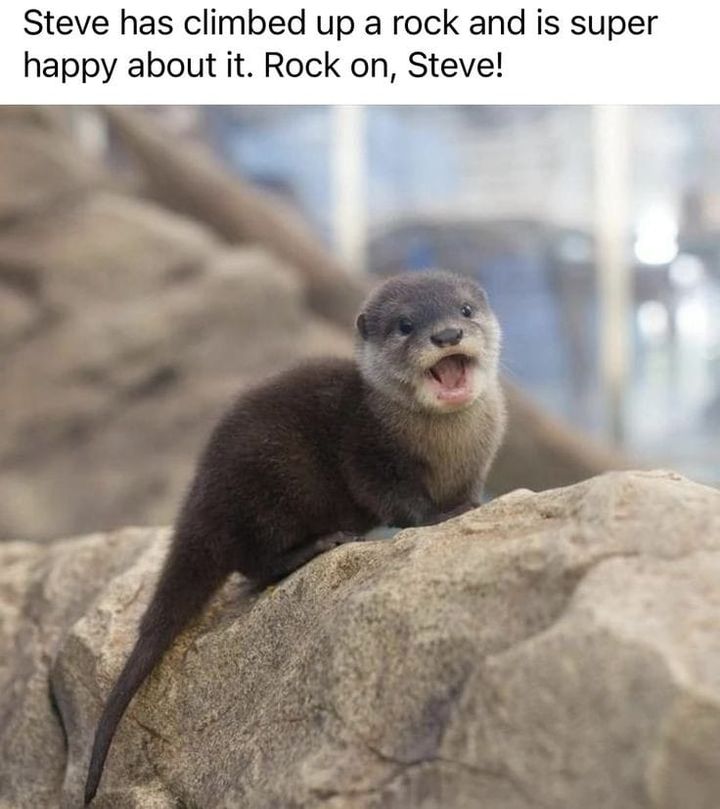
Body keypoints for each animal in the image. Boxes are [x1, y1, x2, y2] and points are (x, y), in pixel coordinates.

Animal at [84, 269, 506, 804]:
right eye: (406, 325)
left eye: (466, 310)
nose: (447, 334)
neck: (447, 447)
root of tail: (202, 494)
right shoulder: (369, 449)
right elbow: (399, 500)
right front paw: (442, 515)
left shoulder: (478, 461)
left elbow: (470, 489)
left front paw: (477, 502)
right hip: (276, 480)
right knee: (254, 562)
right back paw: (321, 543)